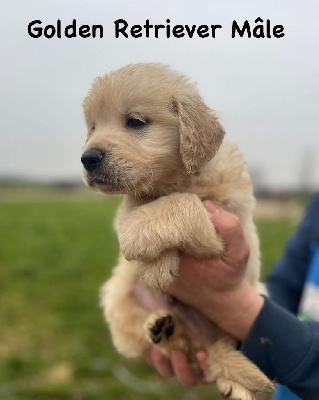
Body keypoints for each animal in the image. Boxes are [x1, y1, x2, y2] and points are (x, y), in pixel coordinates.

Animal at [82, 64, 276, 398]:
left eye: (135, 121)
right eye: (92, 127)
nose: (87, 158)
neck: (178, 178)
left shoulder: (225, 225)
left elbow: (184, 203)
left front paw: (146, 245)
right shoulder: (128, 207)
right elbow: (139, 210)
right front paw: (158, 264)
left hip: (252, 296)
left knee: (219, 349)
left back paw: (235, 385)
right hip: (117, 296)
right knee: (176, 347)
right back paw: (162, 328)